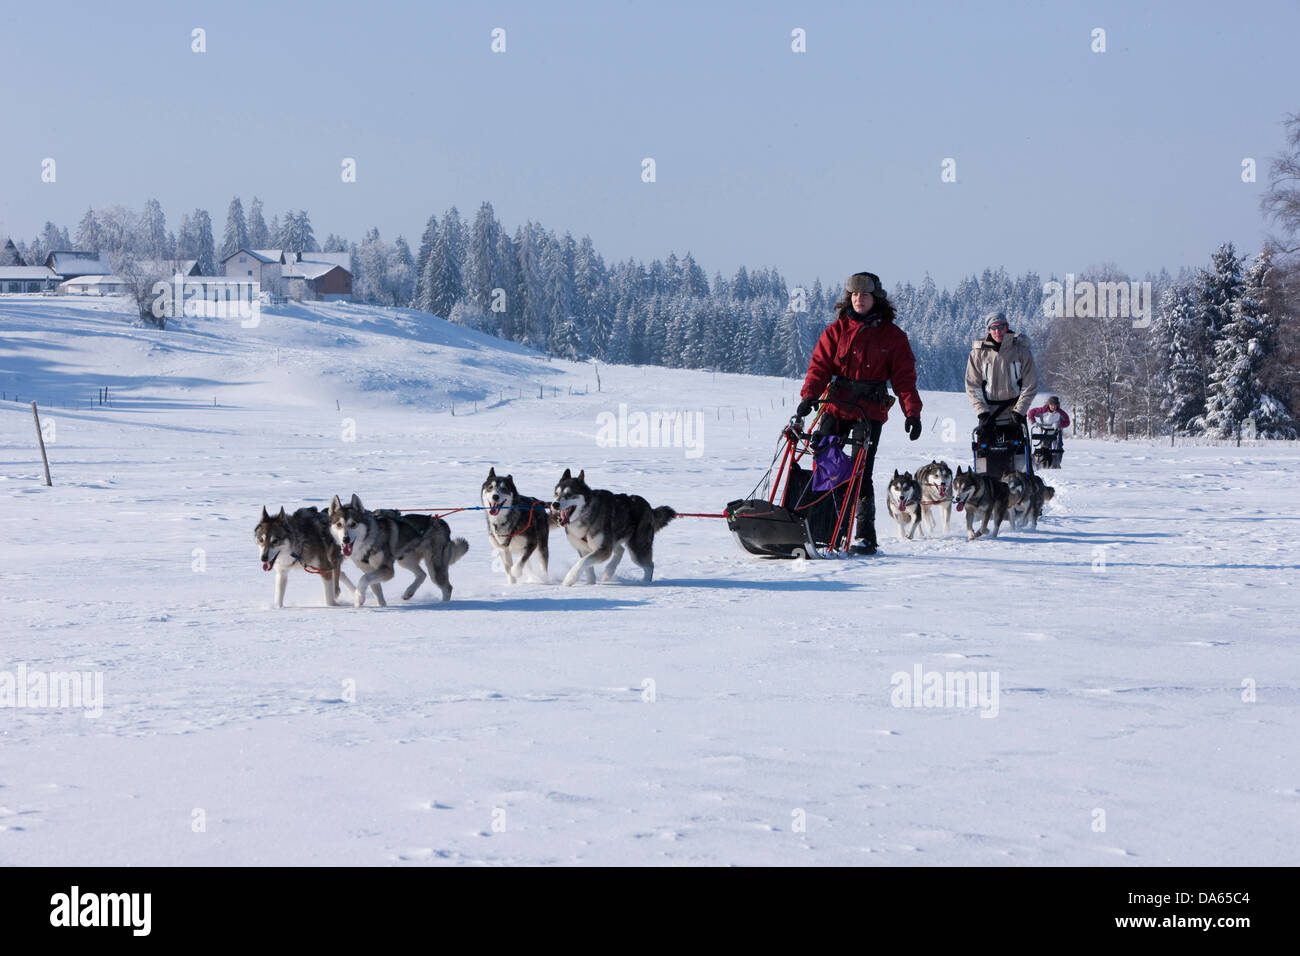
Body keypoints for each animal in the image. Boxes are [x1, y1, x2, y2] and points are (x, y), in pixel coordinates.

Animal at [327, 494, 470, 606]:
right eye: (339, 524)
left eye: (353, 524)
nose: (345, 539)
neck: (368, 539)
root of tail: (441, 522)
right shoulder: (368, 568)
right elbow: (376, 590)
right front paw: (380, 605)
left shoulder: (387, 569)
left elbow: (363, 579)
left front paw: (359, 598)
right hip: (405, 560)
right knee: (422, 574)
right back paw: (409, 592)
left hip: (435, 567)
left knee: (447, 587)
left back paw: (443, 605)